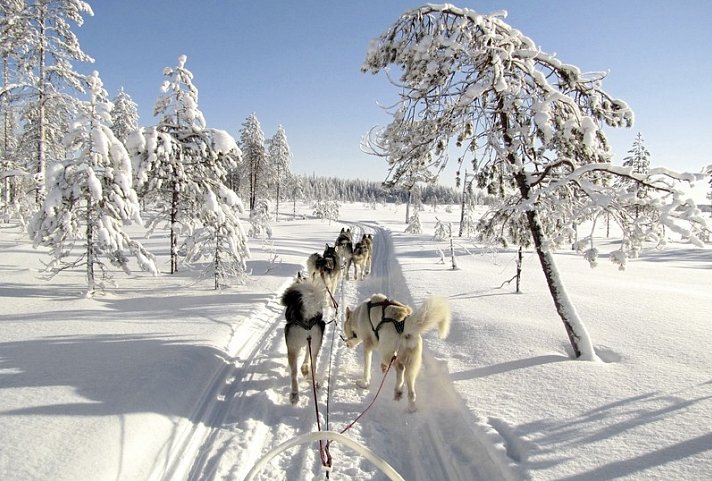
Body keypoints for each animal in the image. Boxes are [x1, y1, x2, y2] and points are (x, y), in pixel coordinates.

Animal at [280, 276, 326, 404]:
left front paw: (304, 368)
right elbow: (307, 355)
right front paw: (305, 368)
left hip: (292, 346)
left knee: (294, 373)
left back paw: (295, 393)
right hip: (315, 343)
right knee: (312, 363)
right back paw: (310, 380)